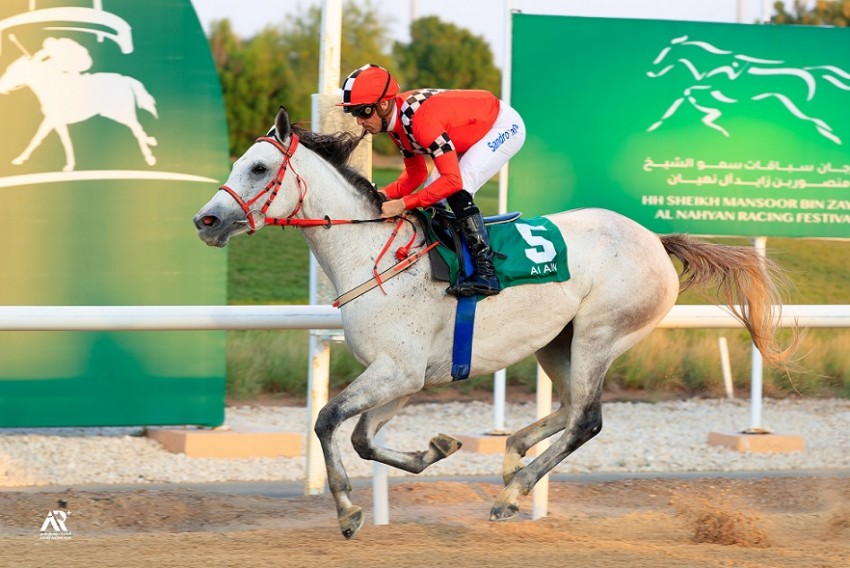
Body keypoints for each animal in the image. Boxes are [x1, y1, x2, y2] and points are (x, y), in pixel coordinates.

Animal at [192, 107, 796, 540]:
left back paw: (511, 492)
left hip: (601, 332)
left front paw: (346, 509)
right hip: (558, 342)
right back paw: (511, 458)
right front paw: (436, 449)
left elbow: (326, 419)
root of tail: (654, 238)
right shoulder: (404, 377)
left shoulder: (397, 371)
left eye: (259, 168)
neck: (371, 253)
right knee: (570, 408)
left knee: (587, 420)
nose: (206, 220)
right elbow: (363, 438)